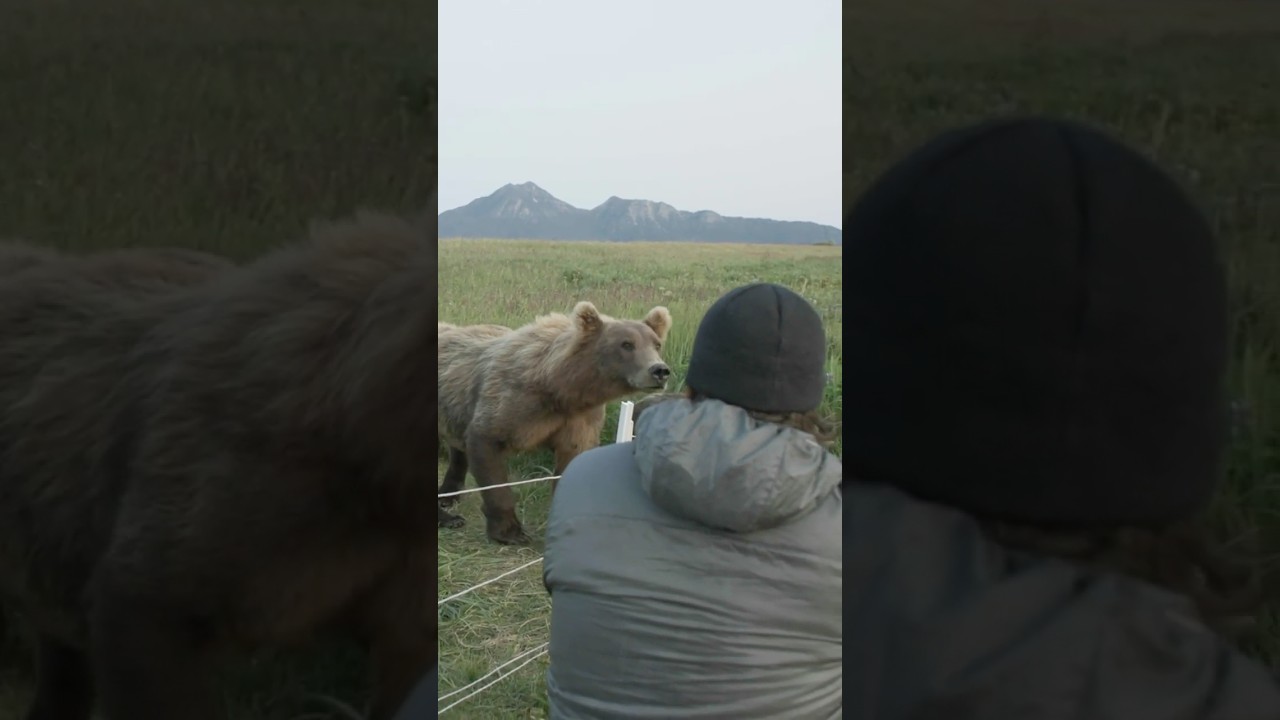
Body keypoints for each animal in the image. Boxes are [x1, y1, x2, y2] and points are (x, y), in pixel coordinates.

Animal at [437, 301, 672, 545]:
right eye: (626, 344)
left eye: (656, 343)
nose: (659, 370)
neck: (560, 389)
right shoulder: (511, 402)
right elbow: (488, 448)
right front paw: (510, 532)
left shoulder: (580, 419)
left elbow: (573, 458)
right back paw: (449, 517)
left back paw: (448, 496)